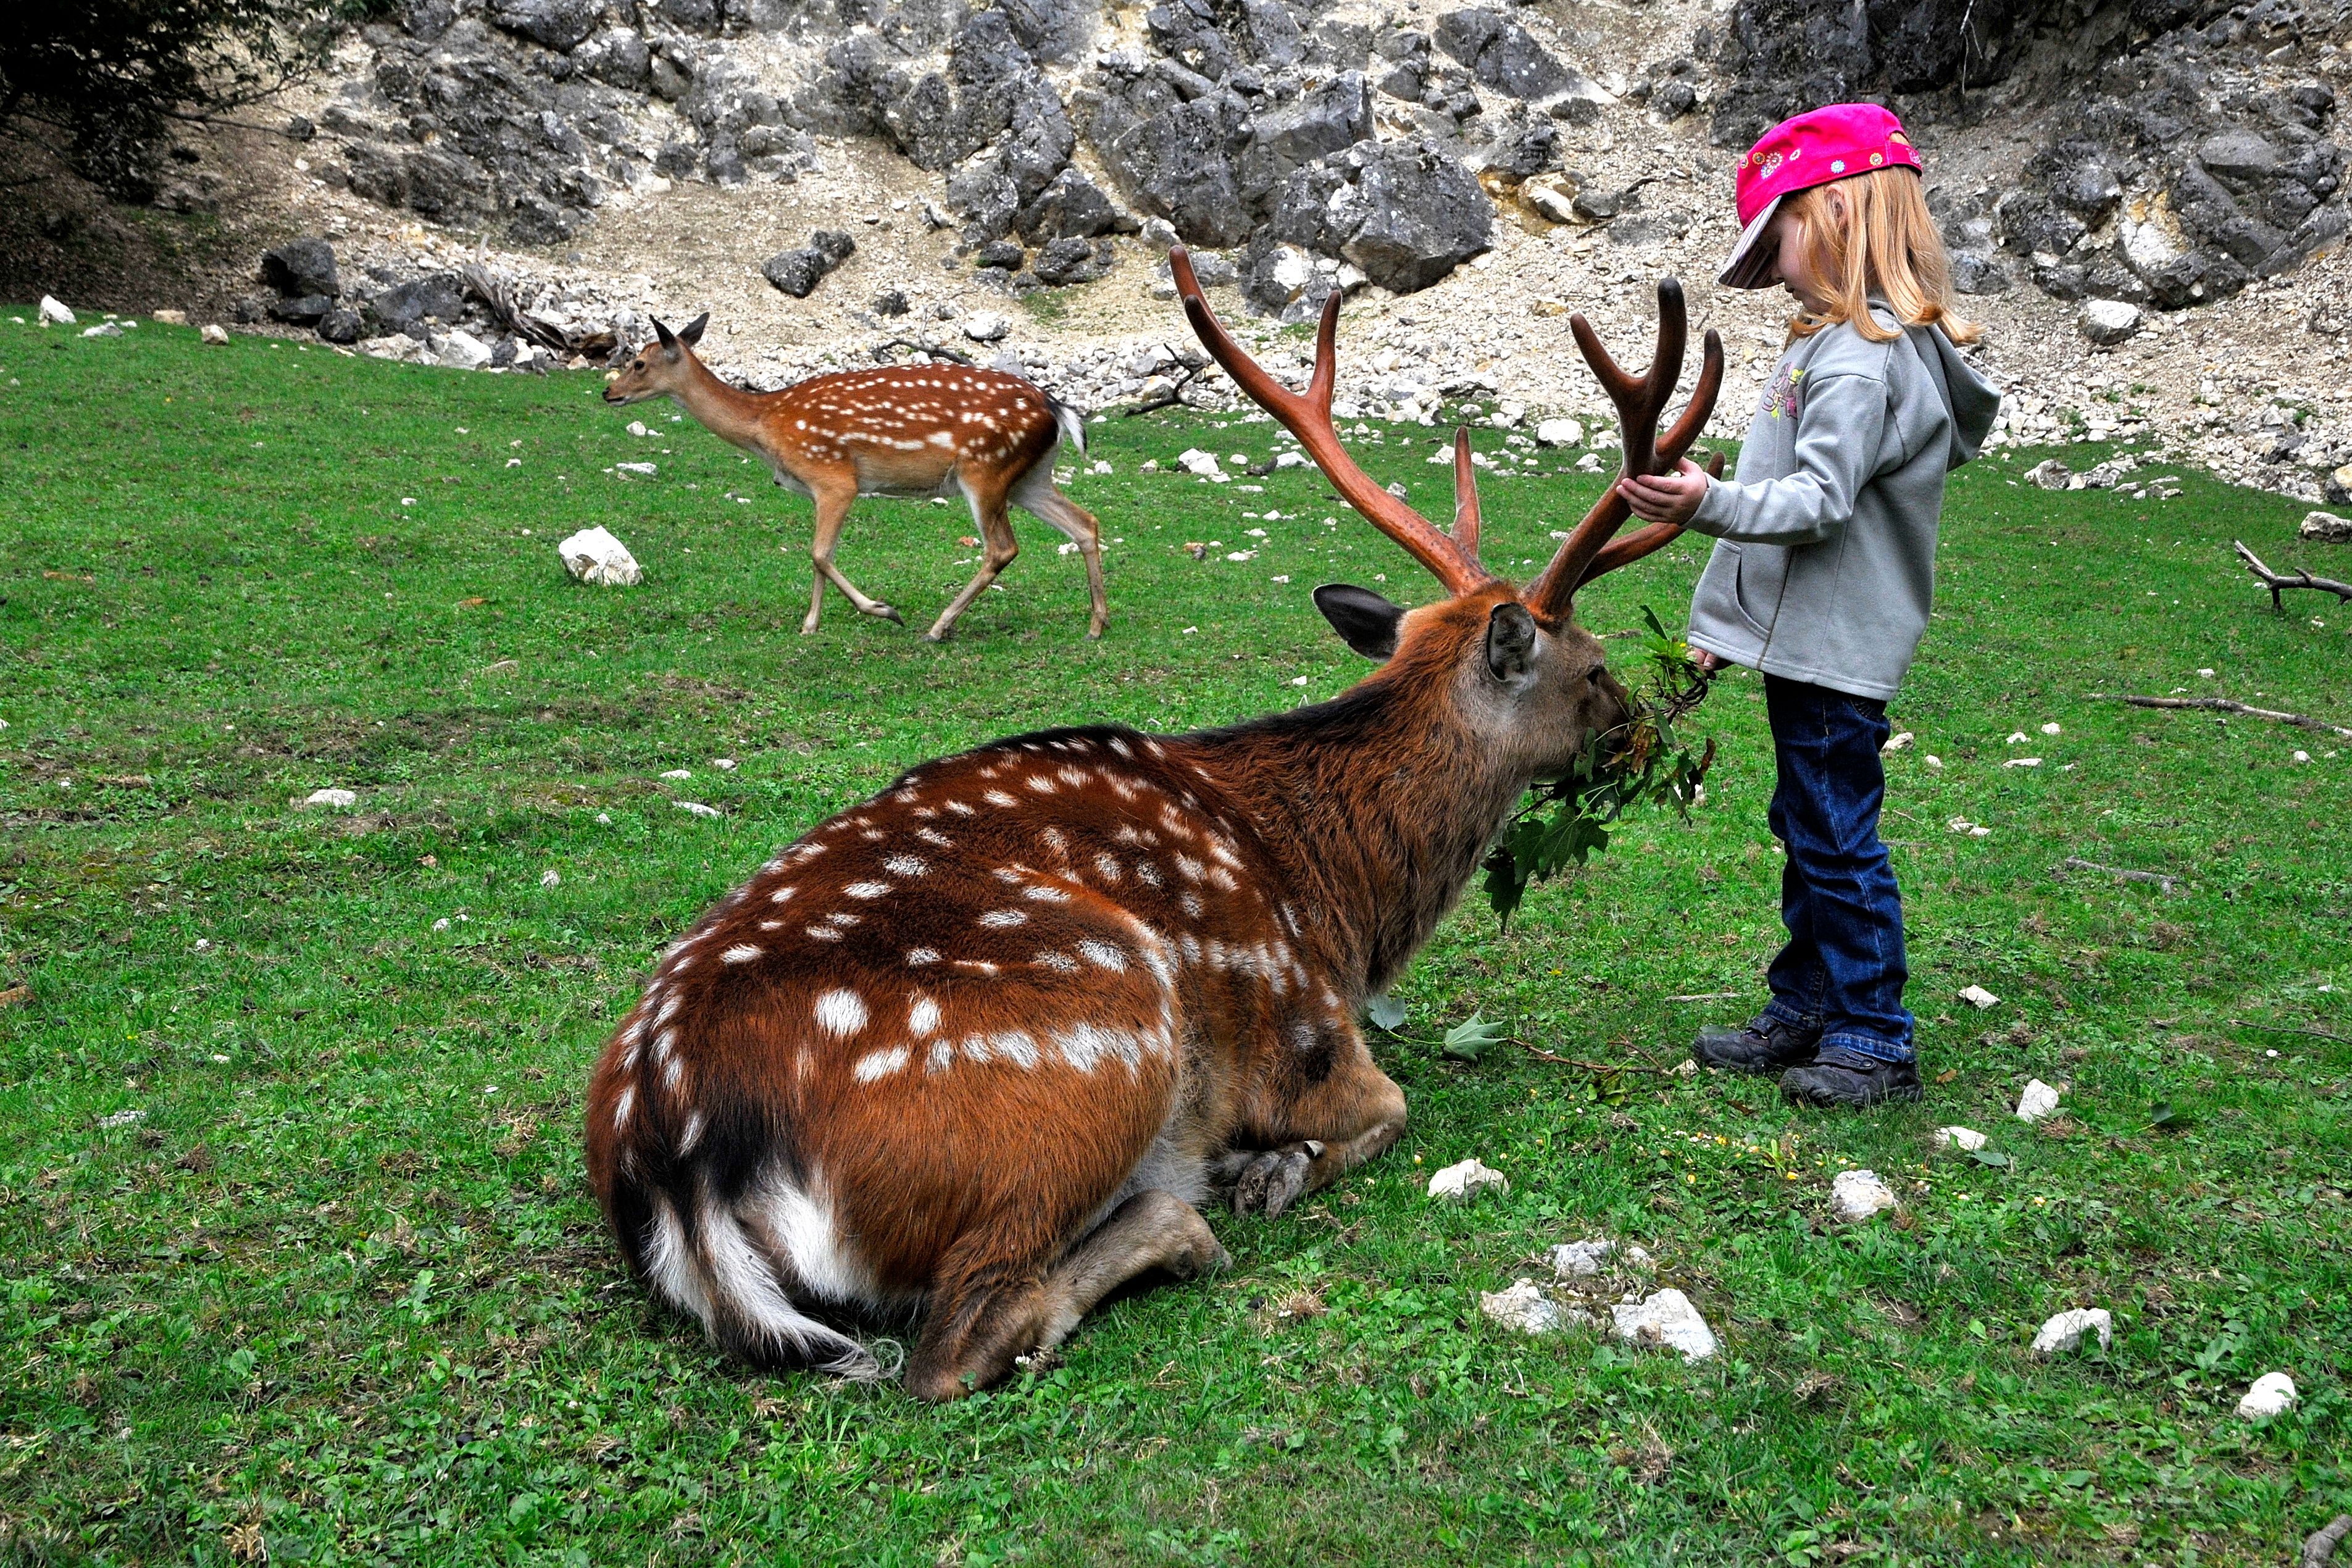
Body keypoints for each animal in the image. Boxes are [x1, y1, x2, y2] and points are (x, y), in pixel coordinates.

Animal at [602, 314, 1109, 642]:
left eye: (639, 363)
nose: (609, 392)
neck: (766, 426)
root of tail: (1056, 409)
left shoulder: (835, 476)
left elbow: (818, 554)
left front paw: (883, 611)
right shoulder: (818, 490)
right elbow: (818, 557)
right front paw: (810, 625)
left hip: (985, 469)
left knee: (1003, 547)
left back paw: (937, 628)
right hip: (1028, 478)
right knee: (1085, 522)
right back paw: (1096, 624)